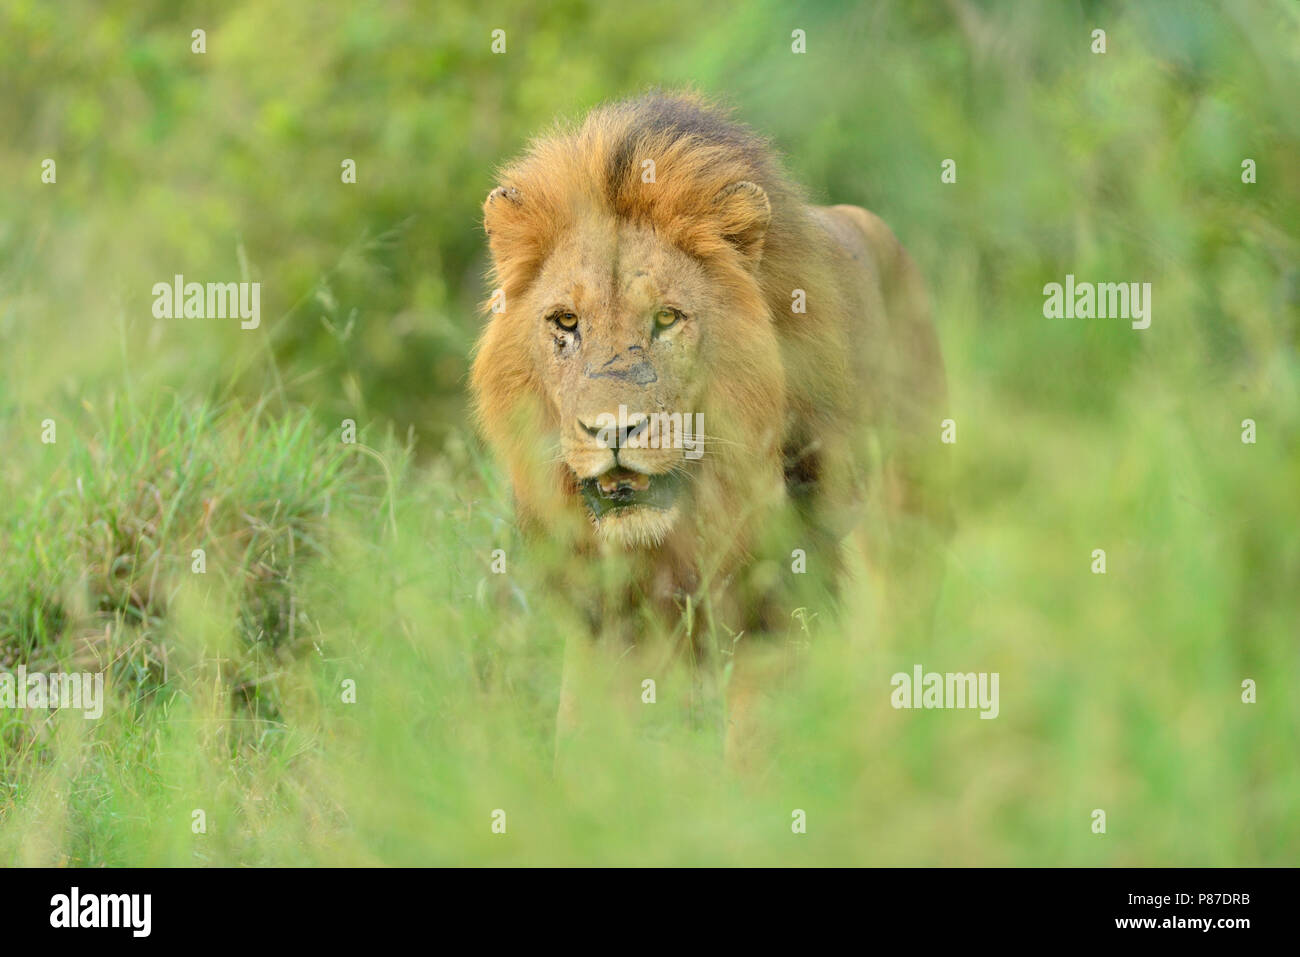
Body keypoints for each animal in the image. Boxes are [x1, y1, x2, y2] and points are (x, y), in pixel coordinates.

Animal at [470, 92, 948, 763]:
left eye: (667, 318)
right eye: (565, 321)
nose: (612, 430)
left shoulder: (771, 600)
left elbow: (756, 743)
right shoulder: (602, 616)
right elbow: (583, 738)